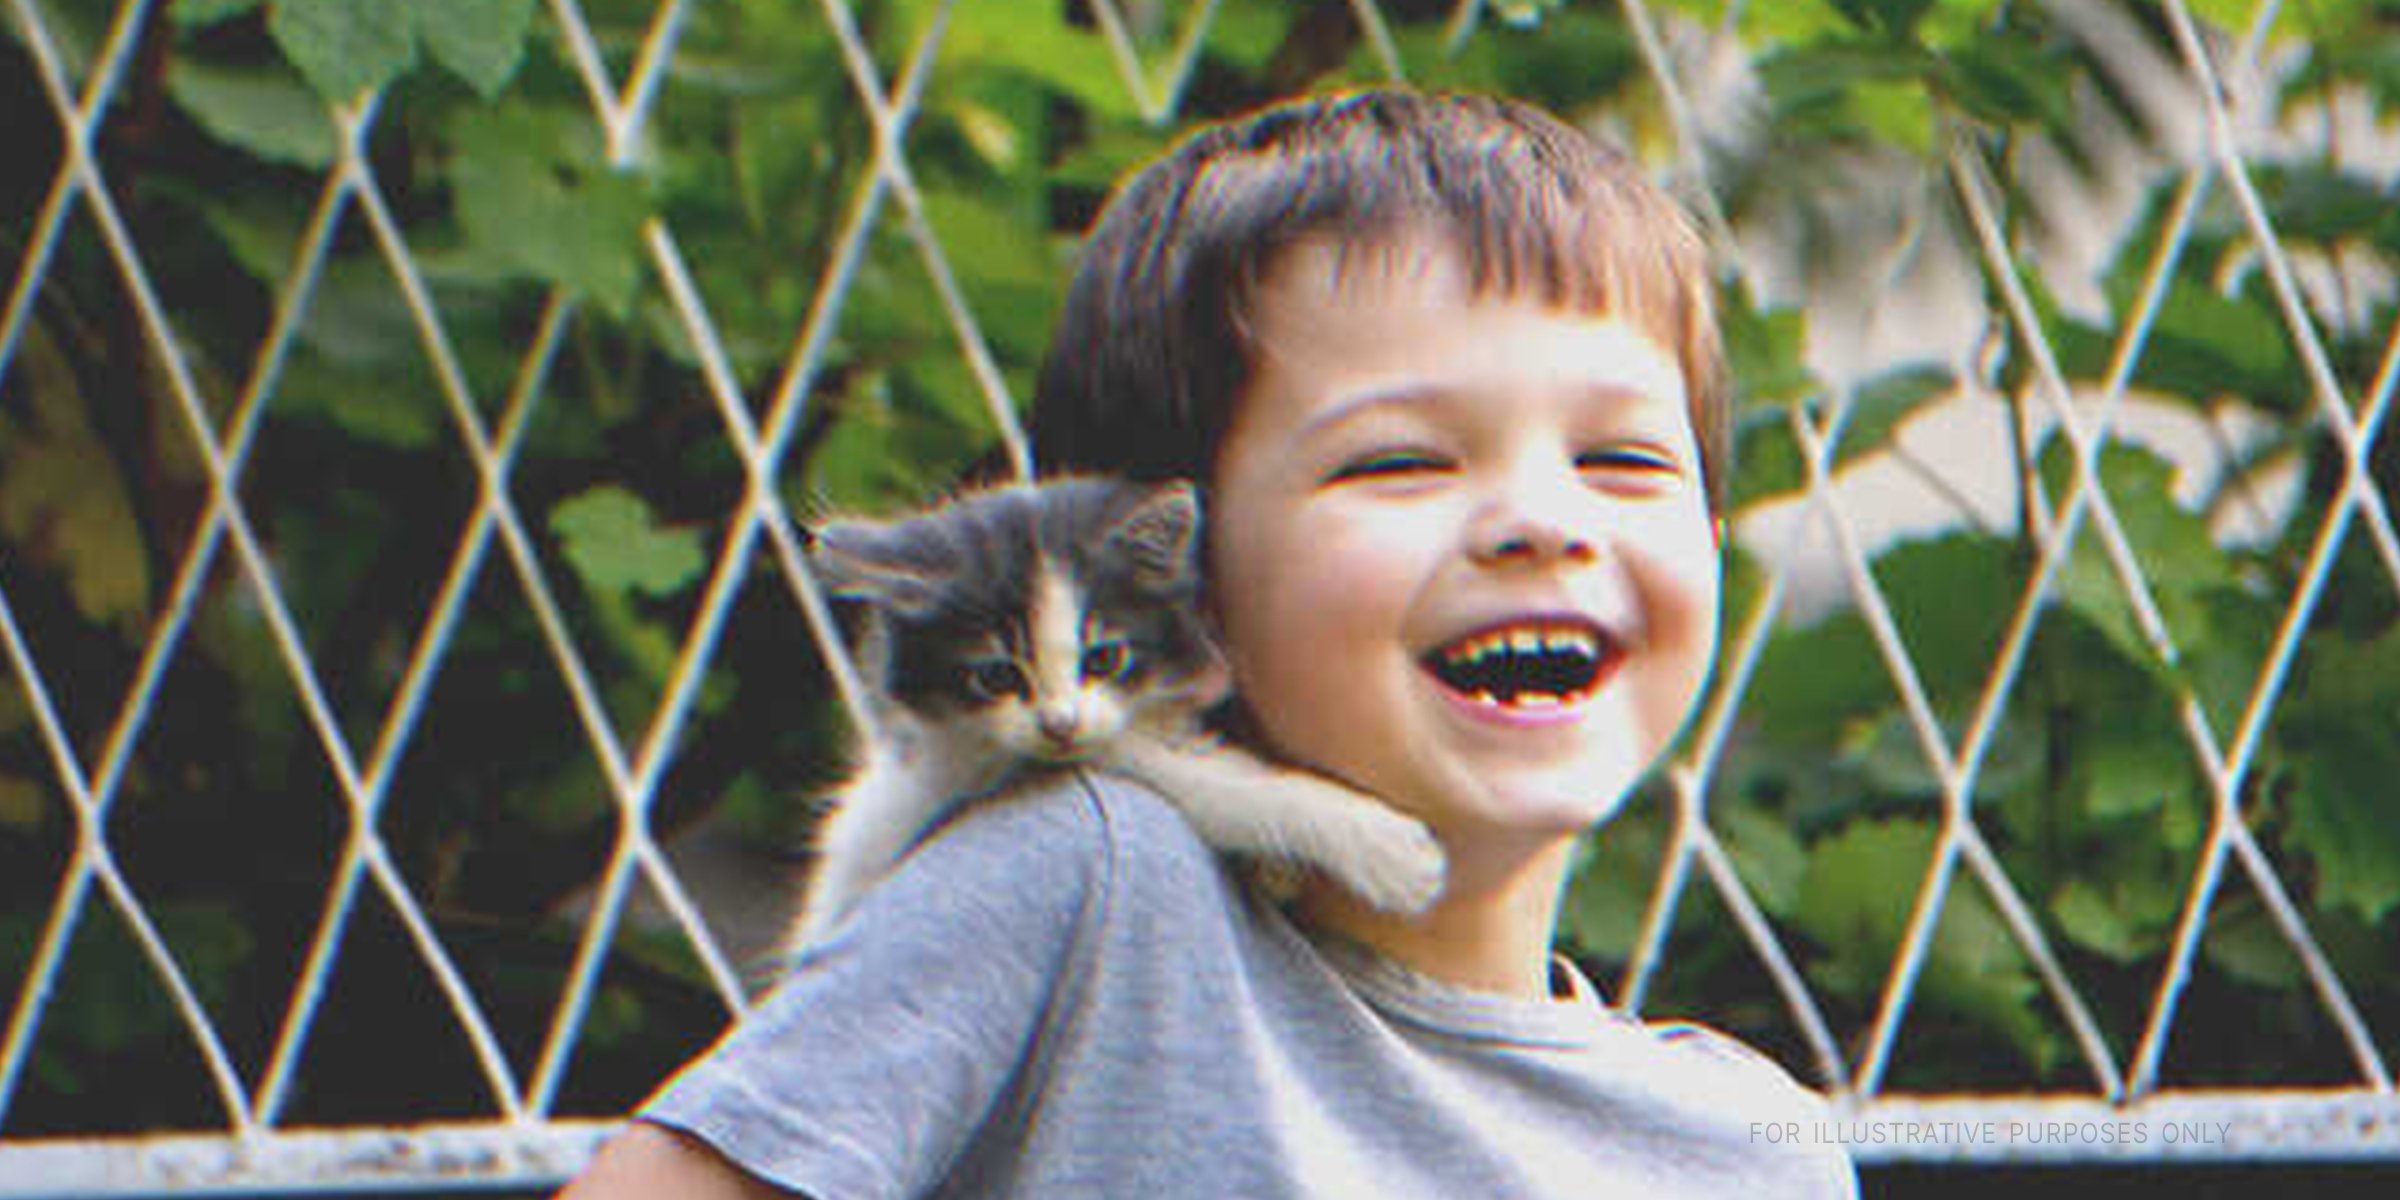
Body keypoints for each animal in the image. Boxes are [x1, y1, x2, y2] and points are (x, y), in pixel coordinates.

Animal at [787, 472, 1440, 950]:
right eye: (996, 675)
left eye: (1104, 657)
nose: (1059, 724)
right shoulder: (966, 766)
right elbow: (1217, 785)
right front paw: (1389, 852)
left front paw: (1279, 870)